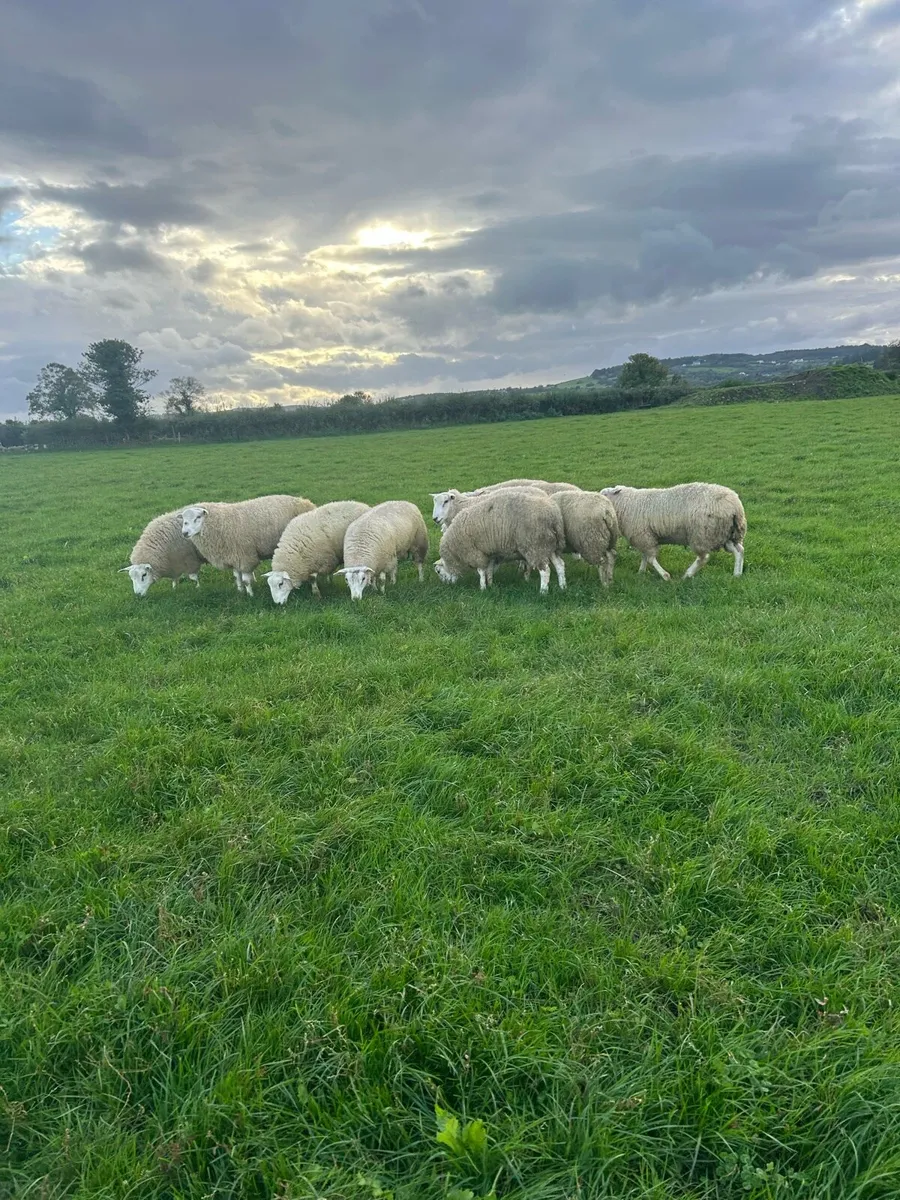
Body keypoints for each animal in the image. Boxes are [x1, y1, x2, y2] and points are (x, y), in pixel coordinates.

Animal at [181, 494, 315, 595]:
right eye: (183, 520)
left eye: (198, 517)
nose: (184, 533)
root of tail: (306, 502)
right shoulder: (233, 556)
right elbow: (237, 577)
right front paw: (240, 592)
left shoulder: (244, 556)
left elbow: (245, 580)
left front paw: (250, 595)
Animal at [434, 488, 567, 594]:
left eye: (439, 572)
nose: (448, 586)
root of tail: (553, 515)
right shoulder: (490, 552)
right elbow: (489, 570)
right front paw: (490, 584)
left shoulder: (475, 552)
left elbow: (481, 571)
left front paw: (482, 588)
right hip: (549, 545)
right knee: (560, 565)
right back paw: (562, 586)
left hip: (535, 545)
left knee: (545, 570)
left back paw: (543, 591)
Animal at [600, 482, 746, 580]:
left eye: (603, 494)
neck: (627, 503)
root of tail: (735, 506)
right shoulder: (645, 536)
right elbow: (645, 556)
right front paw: (641, 572)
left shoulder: (643, 536)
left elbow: (650, 558)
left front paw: (665, 576)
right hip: (726, 534)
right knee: (739, 551)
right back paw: (737, 574)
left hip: (702, 534)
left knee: (703, 558)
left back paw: (687, 575)